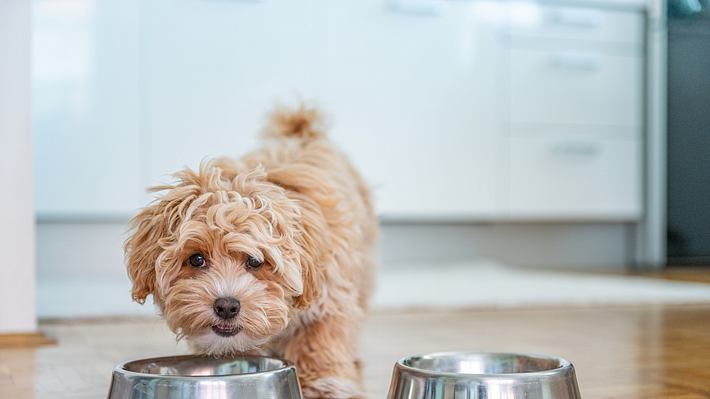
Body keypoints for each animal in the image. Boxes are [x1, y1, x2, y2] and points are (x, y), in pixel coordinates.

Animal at [124, 104, 378, 398]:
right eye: (196, 259)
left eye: (255, 261)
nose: (226, 306)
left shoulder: (330, 299)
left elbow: (320, 342)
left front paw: (322, 384)